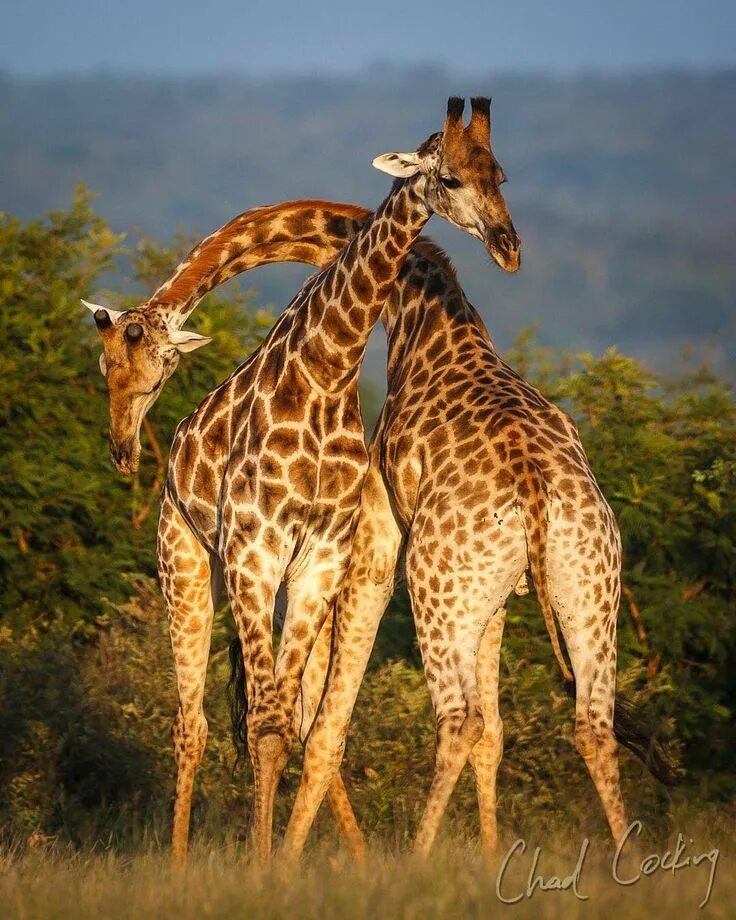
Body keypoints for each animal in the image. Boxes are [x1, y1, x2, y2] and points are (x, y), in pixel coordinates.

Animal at [84, 97, 521, 865]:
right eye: (448, 178)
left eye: (496, 174)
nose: (507, 244)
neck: (326, 367)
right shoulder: (253, 554)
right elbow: (263, 721)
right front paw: (261, 868)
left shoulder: (318, 558)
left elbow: (281, 722)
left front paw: (276, 863)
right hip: (186, 563)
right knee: (191, 722)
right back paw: (177, 865)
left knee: (288, 714)